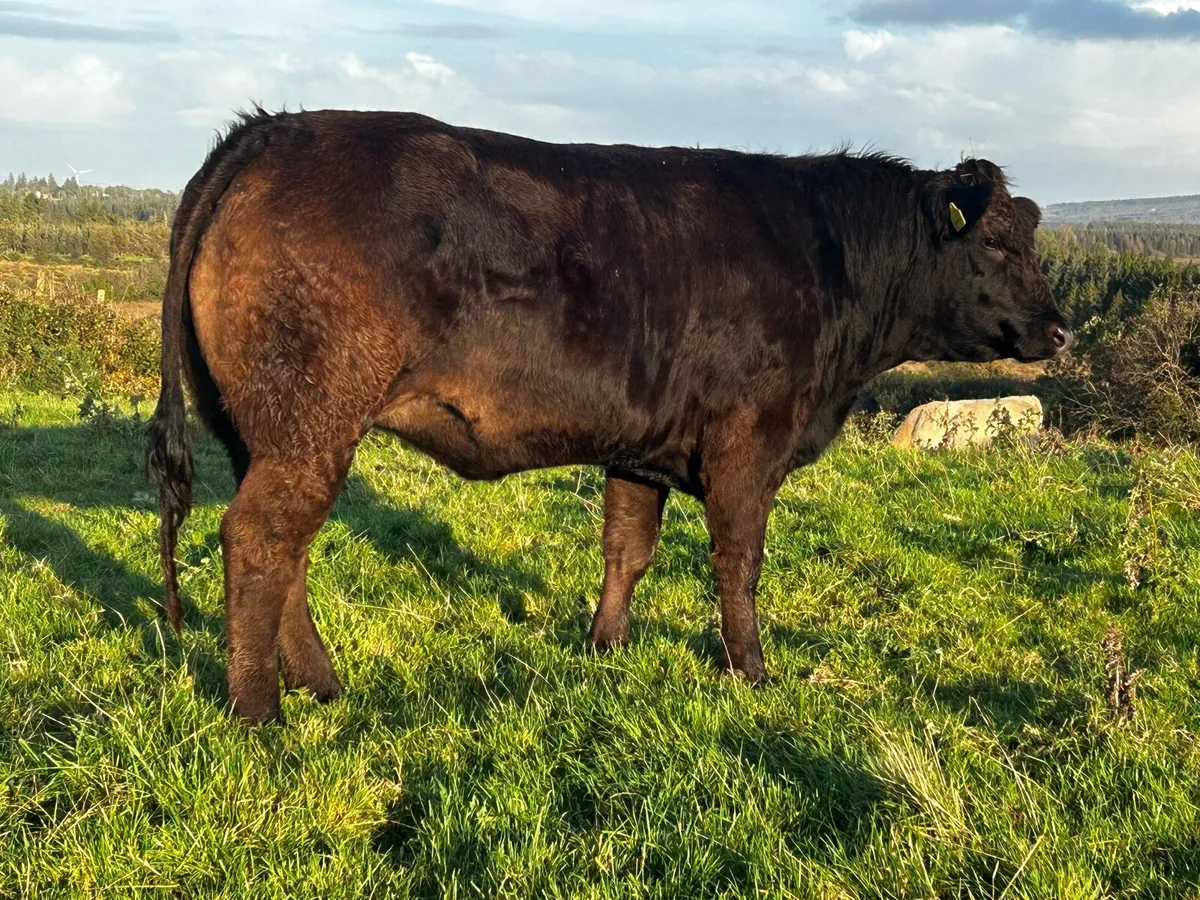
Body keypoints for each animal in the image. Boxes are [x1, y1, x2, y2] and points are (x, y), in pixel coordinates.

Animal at [145, 108, 1071, 723]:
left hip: (271, 433)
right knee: (260, 539)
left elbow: (629, 547)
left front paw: (606, 645)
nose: (1059, 328)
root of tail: (275, 129)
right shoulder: (749, 442)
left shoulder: (644, 444)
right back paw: (260, 713)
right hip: (311, 423)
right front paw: (752, 672)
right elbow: (739, 563)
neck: (830, 259)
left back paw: (321, 684)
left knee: (288, 550)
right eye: (997, 243)